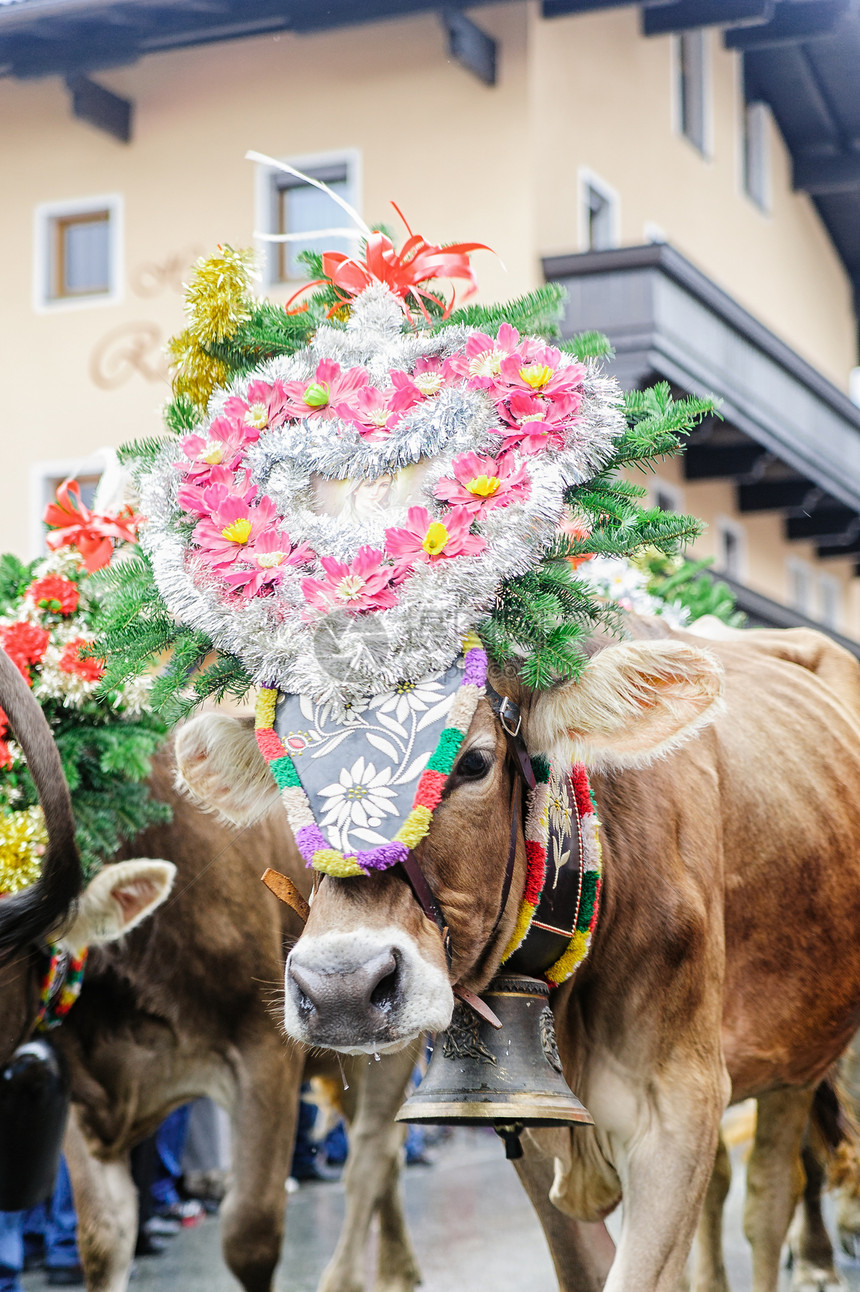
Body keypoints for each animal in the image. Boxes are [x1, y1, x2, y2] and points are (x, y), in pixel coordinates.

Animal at [179, 625, 860, 1292]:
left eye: (474, 761)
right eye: (284, 775)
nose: (340, 988)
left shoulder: (678, 1105)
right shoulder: (522, 1110)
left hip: (801, 1054)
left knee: (773, 1195)